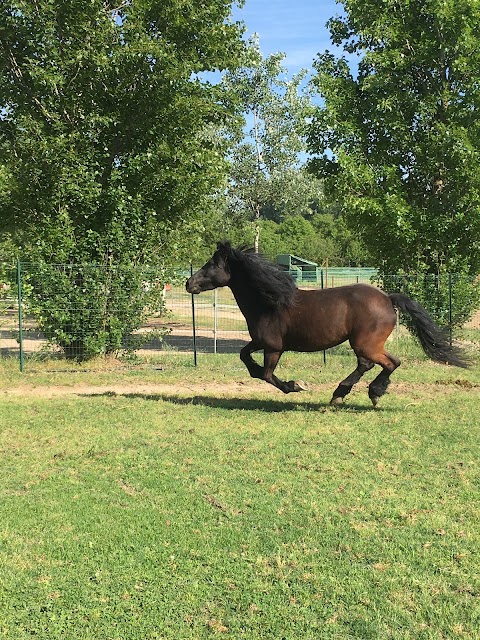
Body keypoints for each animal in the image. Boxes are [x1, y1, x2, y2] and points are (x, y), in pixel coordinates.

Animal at [186, 242, 466, 408]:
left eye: (211, 265)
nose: (189, 283)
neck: (269, 302)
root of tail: (388, 298)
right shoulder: (259, 342)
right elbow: (247, 359)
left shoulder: (273, 347)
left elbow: (266, 374)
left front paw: (295, 386)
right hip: (366, 344)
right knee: (371, 364)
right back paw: (342, 394)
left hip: (366, 344)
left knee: (389, 363)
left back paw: (369, 393)